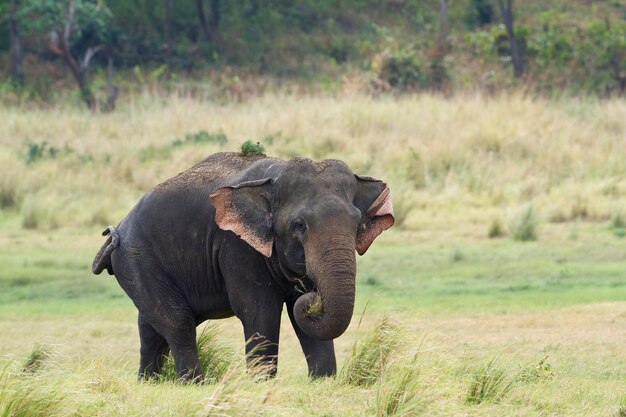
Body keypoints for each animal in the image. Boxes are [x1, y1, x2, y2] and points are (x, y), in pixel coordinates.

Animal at [91, 152, 394, 380]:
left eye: (357, 223)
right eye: (299, 226)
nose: (312, 298)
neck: (272, 178)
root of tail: (117, 231)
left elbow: (304, 323)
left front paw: (322, 380)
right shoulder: (237, 247)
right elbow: (259, 311)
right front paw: (261, 384)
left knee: (151, 328)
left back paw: (149, 383)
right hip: (136, 259)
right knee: (177, 321)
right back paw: (195, 383)